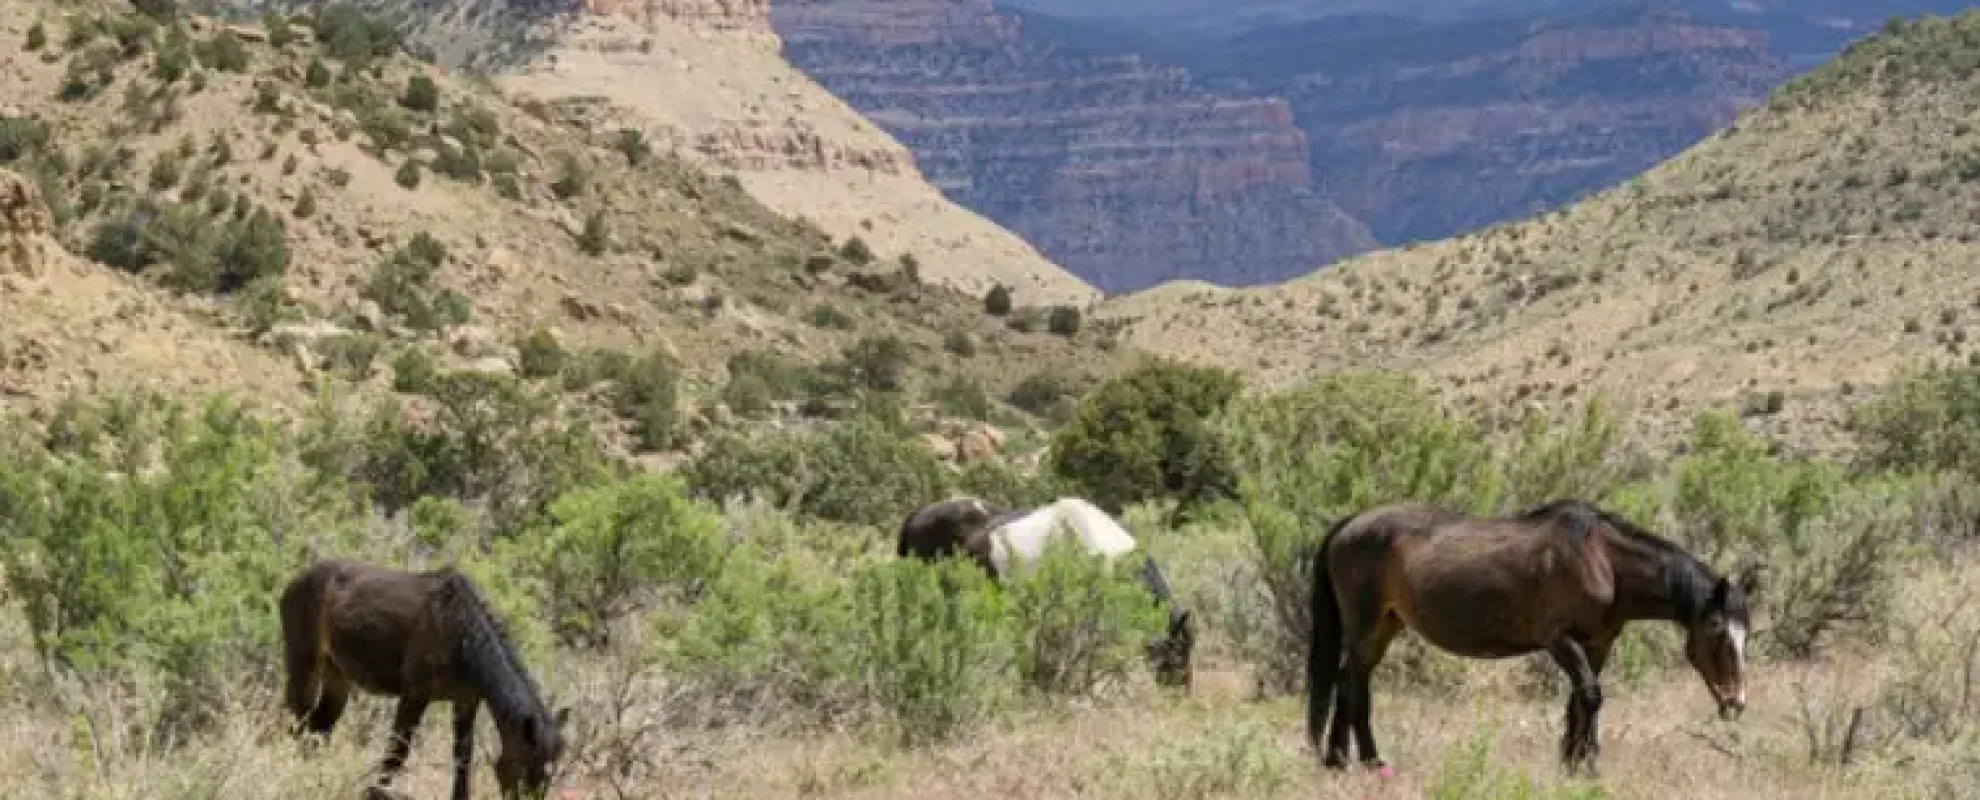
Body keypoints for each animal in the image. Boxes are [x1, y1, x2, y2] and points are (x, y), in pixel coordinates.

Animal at [279, 559, 571, 800]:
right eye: (524, 767)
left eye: (551, 774)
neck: (460, 632)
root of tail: (295, 581)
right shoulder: (414, 695)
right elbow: (397, 752)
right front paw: (374, 792)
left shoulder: (466, 702)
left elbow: (462, 757)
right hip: (304, 663)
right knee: (299, 718)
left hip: (337, 676)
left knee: (320, 727)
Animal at [1305, 498, 1759, 777]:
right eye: (1717, 631)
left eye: (1746, 636)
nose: (1736, 703)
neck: (1602, 560)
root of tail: (1348, 526)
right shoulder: (1558, 639)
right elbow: (1590, 696)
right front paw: (1587, 767)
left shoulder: (1597, 645)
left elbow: (1581, 701)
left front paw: (1572, 765)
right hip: (1365, 625)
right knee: (1352, 684)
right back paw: (1372, 762)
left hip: (1385, 625)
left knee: (1348, 681)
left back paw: (1338, 761)